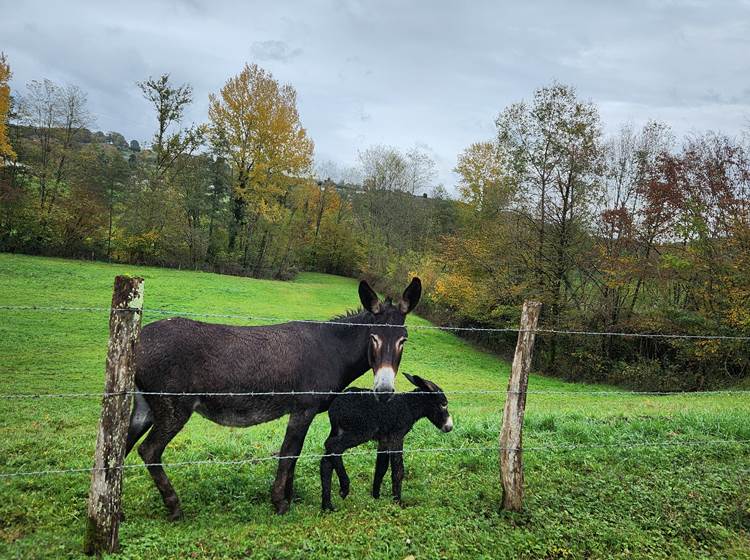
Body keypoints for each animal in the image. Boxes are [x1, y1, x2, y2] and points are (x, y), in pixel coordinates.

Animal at [322, 374, 456, 510]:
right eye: (444, 404)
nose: (449, 427)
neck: (410, 406)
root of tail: (335, 406)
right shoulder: (397, 436)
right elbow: (398, 469)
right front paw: (398, 502)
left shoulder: (384, 441)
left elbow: (381, 468)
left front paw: (376, 497)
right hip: (361, 431)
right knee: (334, 447)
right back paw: (344, 488)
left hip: (338, 430)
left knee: (326, 459)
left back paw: (327, 505)